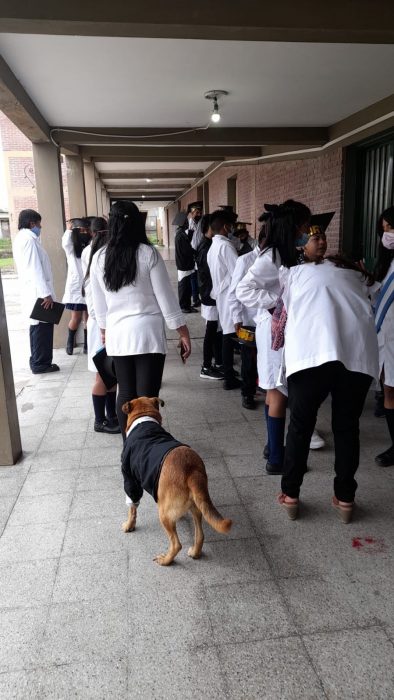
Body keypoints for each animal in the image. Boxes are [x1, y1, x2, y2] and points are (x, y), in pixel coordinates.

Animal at [120, 396, 231, 568]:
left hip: (164, 514)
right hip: (197, 505)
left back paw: (166, 560)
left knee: (176, 544)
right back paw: (195, 552)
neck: (144, 419)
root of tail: (191, 470)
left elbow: (132, 508)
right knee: (200, 534)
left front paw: (129, 525)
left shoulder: (130, 479)